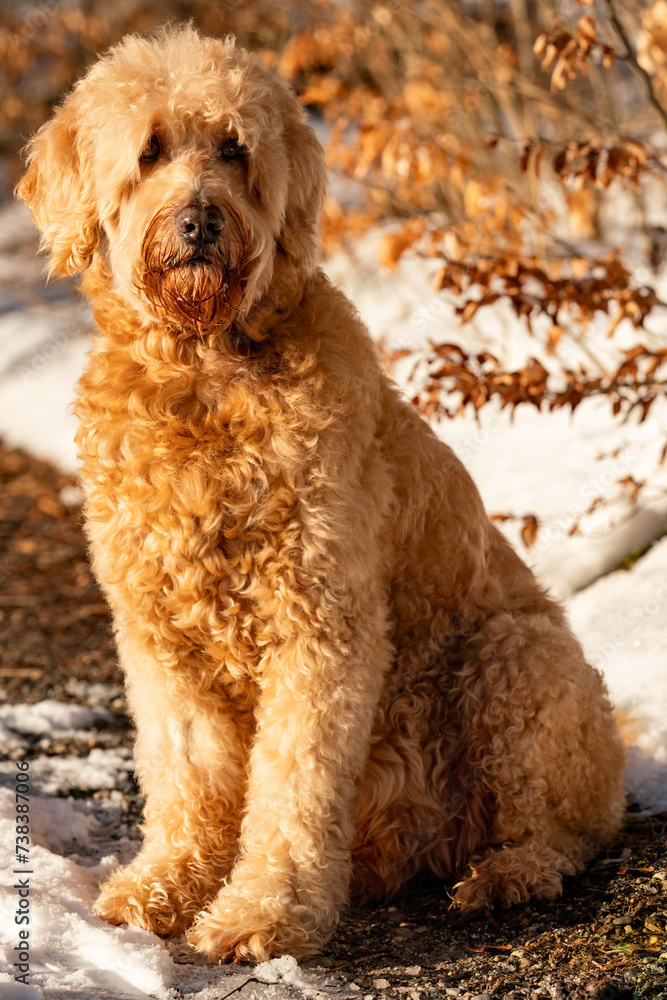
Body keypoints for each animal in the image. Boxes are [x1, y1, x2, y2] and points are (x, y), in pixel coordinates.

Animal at [15, 23, 628, 960]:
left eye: (234, 150)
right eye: (150, 151)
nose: (200, 221)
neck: (203, 372)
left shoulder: (318, 623)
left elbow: (294, 784)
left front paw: (263, 912)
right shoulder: (159, 639)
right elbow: (186, 772)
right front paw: (166, 885)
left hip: (516, 656)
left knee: (567, 826)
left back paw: (508, 873)